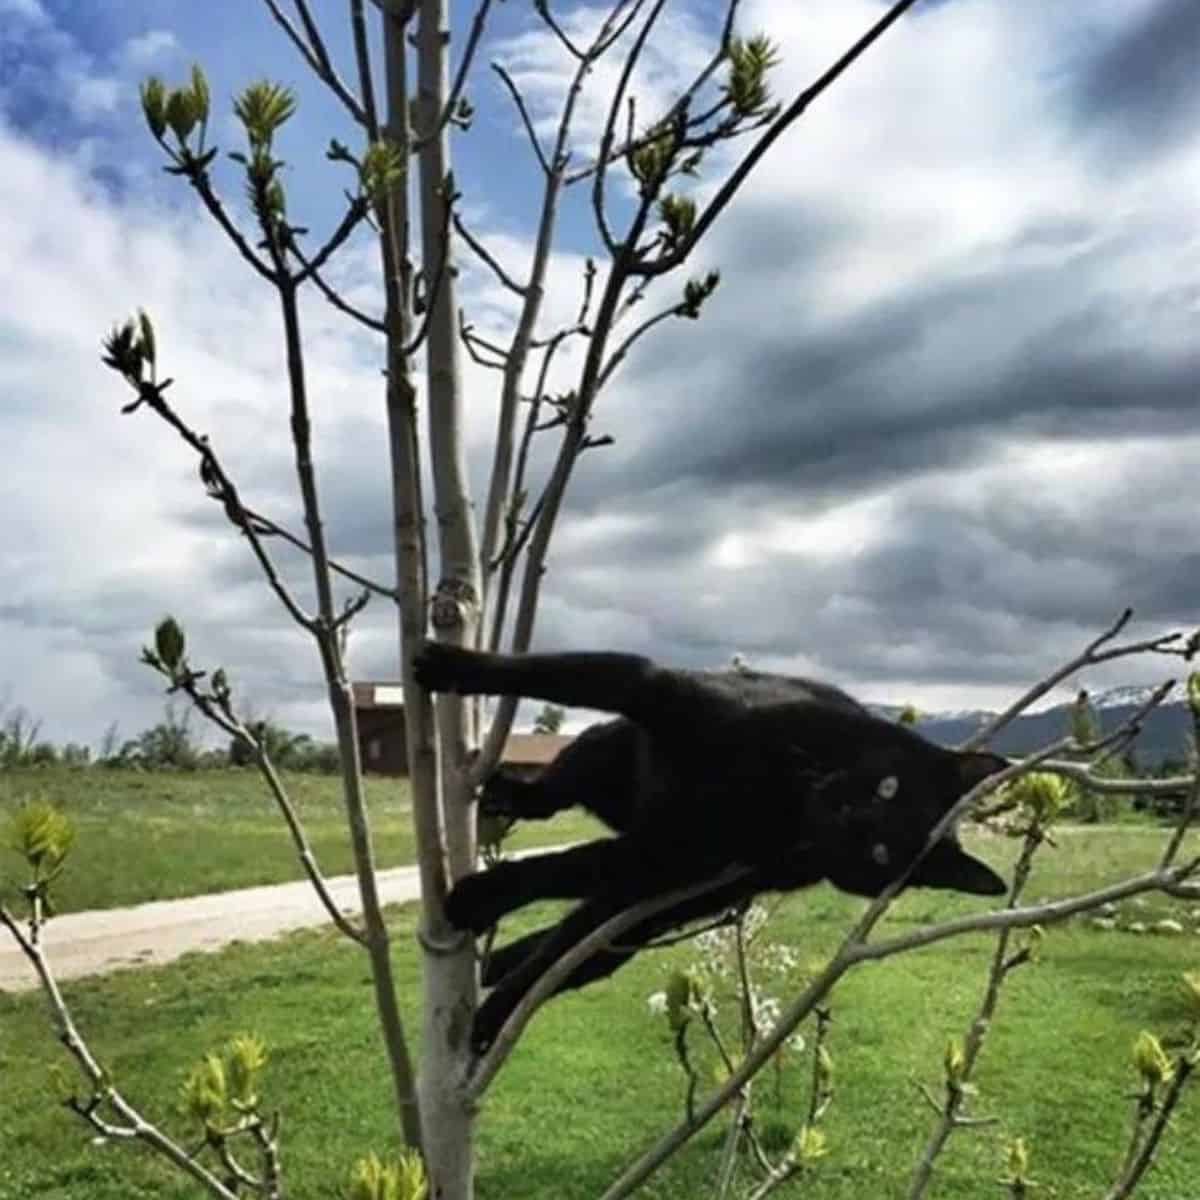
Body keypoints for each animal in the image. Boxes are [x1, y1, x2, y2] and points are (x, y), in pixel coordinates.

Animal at [415, 638, 1012, 1051]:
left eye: (882, 854)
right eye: (888, 786)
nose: (852, 819)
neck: (782, 794)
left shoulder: (676, 853)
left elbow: (556, 871)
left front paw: (480, 897)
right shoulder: (662, 693)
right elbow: (548, 673)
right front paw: (449, 664)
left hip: (656, 903)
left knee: (568, 949)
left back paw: (495, 1002)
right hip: (608, 756)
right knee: (558, 789)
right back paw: (510, 795)